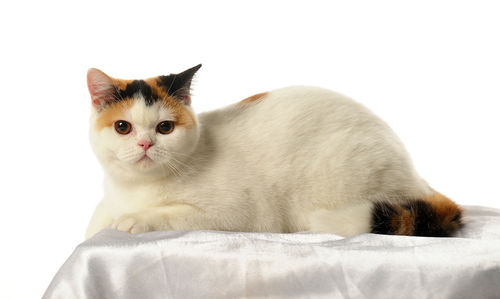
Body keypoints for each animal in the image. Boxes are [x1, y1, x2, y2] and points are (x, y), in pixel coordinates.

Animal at [84, 64, 462, 240]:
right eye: (123, 127)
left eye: (165, 128)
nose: (145, 144)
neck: (137, 188)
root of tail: (415, 175)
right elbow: (100, 214)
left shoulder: (237, 215)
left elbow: (170, 214)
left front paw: (135, 219)